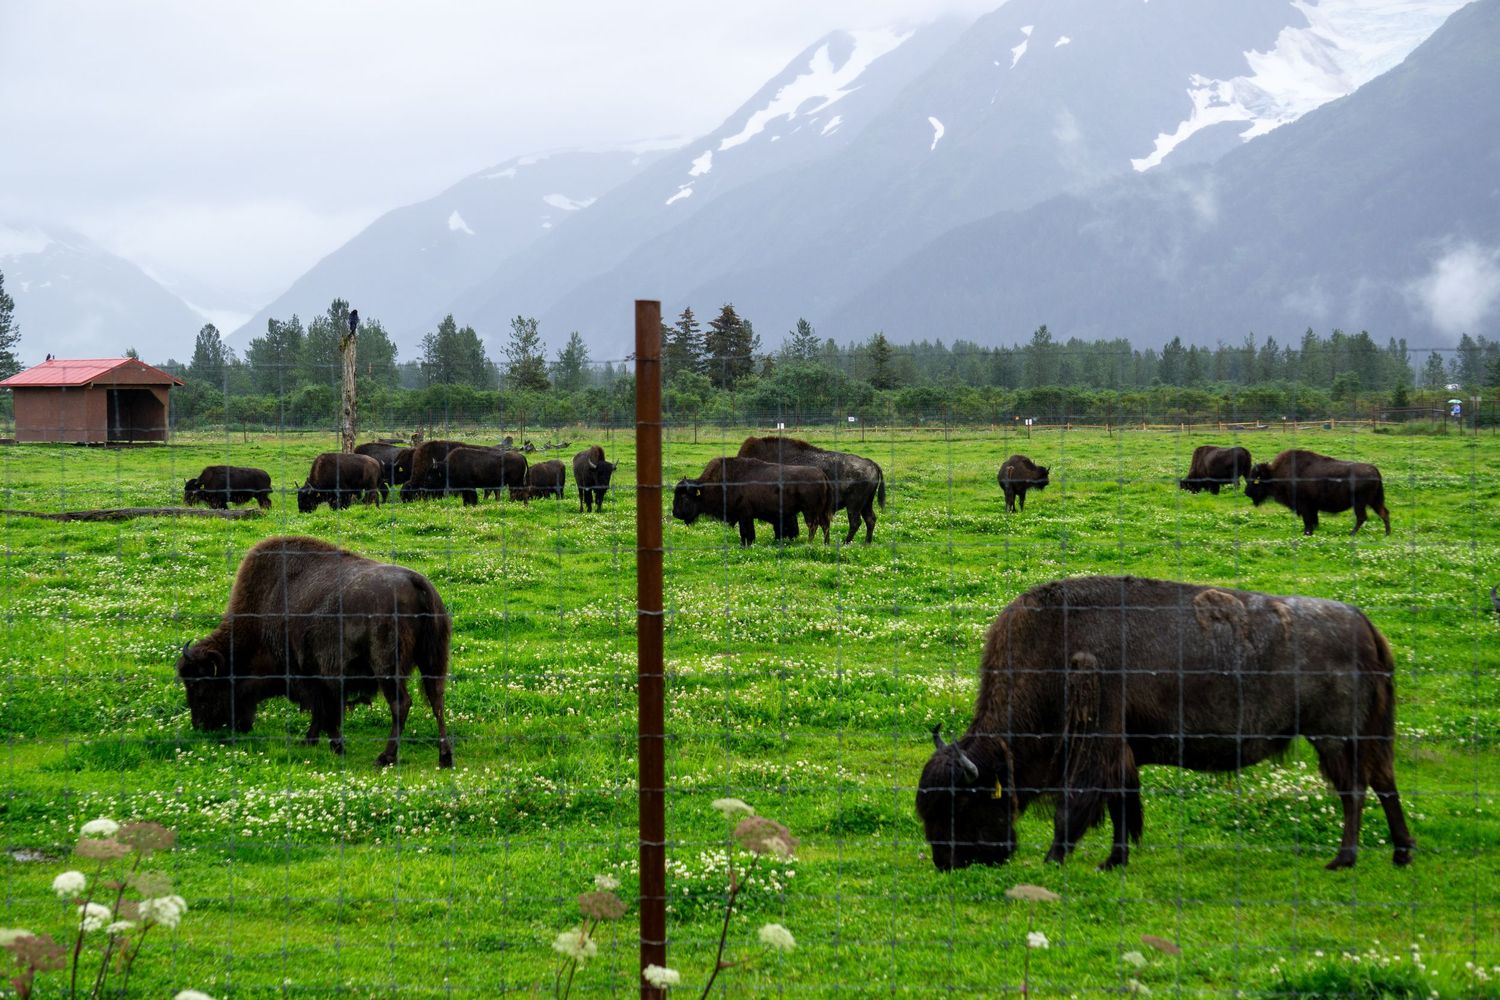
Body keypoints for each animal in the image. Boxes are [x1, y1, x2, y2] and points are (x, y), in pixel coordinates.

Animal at [175, 536, 453, 768]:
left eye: (201, 686)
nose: (200, 726)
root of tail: (416, 582)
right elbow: (324, 711)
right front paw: (313, 741)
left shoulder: (308, 674)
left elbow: (324, 710)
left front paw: (332, 745)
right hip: (433, 662)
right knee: (436, 700)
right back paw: (445, 758)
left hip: (387, 669)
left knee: (401, 704)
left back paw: (385, 757)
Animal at [672, 456, 833, 546]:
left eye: (684, 497)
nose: (675, 513)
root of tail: (822, 474)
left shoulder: (745, 515)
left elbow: (746, 532)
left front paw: (747, 544)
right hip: (819, 511)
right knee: (825, 525)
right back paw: (825, 543)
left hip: (809, 511)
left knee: (813, 526)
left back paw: (809, 543)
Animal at [736, 436, 885, 544]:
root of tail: (871, 463)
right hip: (866, 504)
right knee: (870, 519)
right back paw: (866, 543)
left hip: (853, 505)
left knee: (855, 522)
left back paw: (846, 542)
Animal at [917, 575, 1413, 872]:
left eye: (962, 806)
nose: (947, 863)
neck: (1053, 648)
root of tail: (1364, 624)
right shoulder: (1122, 753)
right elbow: (1121, 806)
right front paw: (1113, 861)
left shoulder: (1095, 746)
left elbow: (1076, 806)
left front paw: (1054, 858)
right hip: (1362, 738)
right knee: (1384, 783)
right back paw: (1401, 854)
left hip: (1335, 738)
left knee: (1355, 791)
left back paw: (1343, 859)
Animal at [1245, 449, 1390, 536]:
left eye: (1256, 480)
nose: (1246, 492)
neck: (1276, 473)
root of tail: (1374, 470)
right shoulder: (1312, 507)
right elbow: (1313, 520)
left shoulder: (1305, 506)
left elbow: (1308, 520)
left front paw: (1306, 533)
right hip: (1374, 501)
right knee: (1384, 513)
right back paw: (1387, 533)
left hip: (1360, 503)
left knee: (1362, 517)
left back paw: (1352, 533)